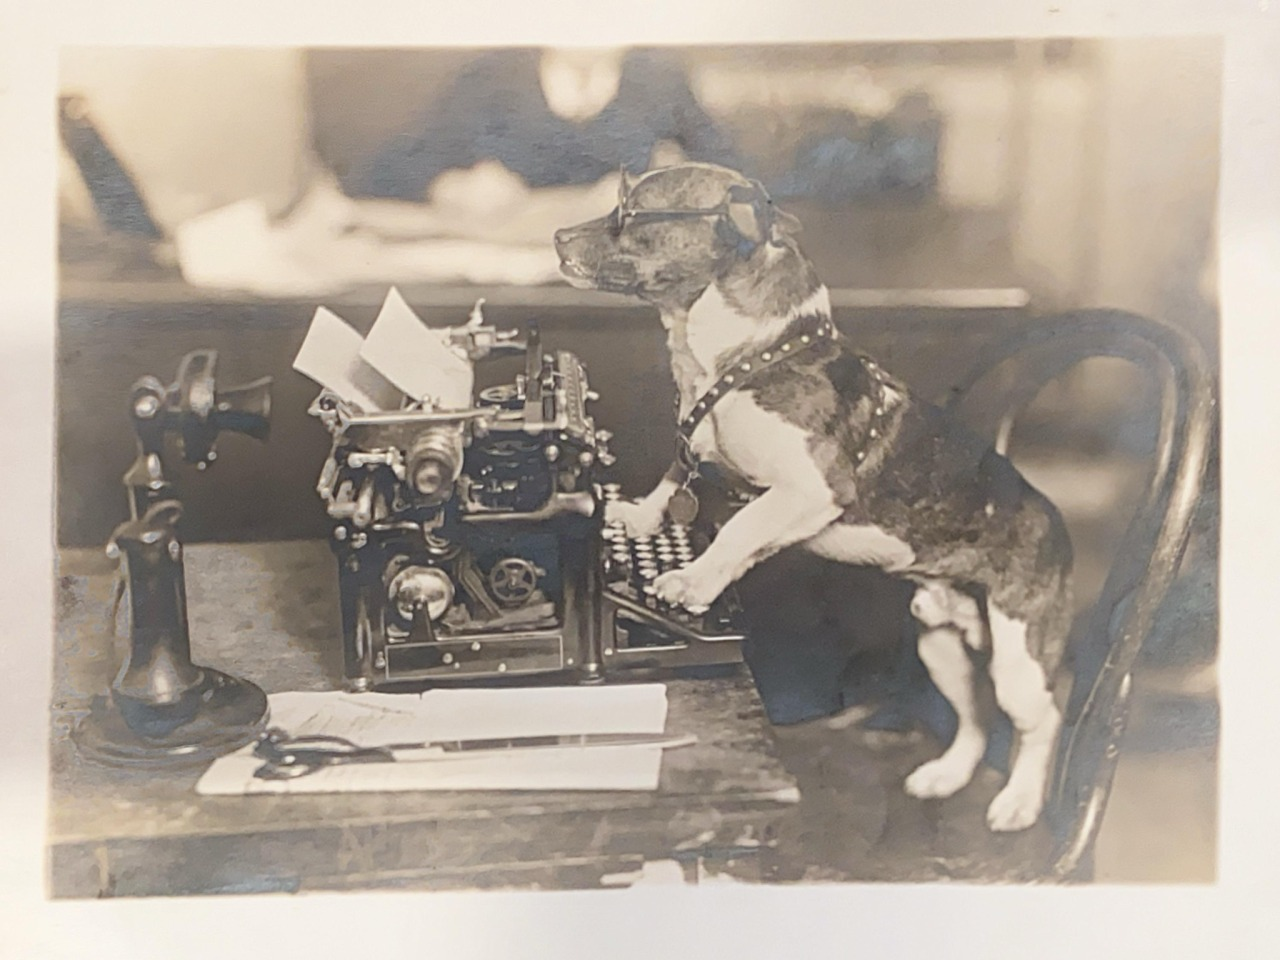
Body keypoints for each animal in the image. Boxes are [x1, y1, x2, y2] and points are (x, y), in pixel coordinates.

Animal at [550, 161, 1070, 829]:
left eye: (631, 209)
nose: (558, 237)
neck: (745, 358)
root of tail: (1054, 520)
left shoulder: (810, 489)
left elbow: (740, 531)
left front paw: (691, 581)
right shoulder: (695, 450)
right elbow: (672, 479)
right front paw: (638, 520)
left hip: (1018, 661)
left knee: (1042, 720)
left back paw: (1021, 801)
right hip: (941, 644)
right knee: (974, 716)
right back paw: (946, 775)